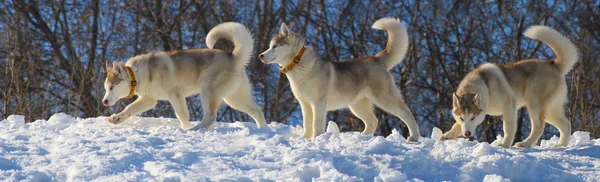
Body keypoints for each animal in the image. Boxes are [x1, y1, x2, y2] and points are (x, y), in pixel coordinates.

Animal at [102, 22, 266, 130]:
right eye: (106, 88)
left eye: (112, 87)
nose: (104, 101)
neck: (137, 74)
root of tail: (234, 56)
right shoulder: (149, 99)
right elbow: (129, 108)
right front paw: (117, 118)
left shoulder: (175, 93)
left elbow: (182, 115)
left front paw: (185, 128)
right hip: (234, 98)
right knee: (257, 111)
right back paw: (262, 129)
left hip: (208, 92)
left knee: (210, 117)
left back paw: (195, 130)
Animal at [258, 17, 422, 141]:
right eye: (270, 46)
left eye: (275, 46)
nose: (260, 55)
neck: (298, 63)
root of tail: (376, 58)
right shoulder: (304, 104)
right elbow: (307, 124)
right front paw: (305, 139)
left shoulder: (318, 102)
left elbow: (316, 124)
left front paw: (316, 139)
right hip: (357, 105)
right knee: (373, 121)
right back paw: (362, 137)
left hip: (385, 98)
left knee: (407, 114)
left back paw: (414, 137)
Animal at [442, 25, 580, 148]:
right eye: (462, 118)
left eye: (473, 117)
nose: (467, 133)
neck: (485, 86)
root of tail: (553, 64)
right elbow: (455, 125)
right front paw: (447, 135)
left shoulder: (509, 106)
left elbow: (508, 127)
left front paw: (505, 144)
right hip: (551, 110)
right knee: (566, 125)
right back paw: (561, 145)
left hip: (535, 105)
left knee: (539, 126)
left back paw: (525, 144)